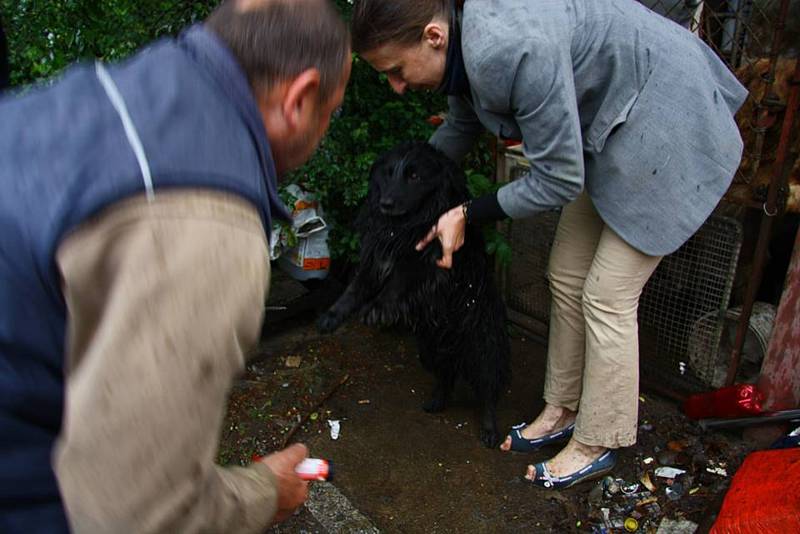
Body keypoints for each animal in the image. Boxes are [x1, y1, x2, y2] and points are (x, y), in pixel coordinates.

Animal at [318, 142, 510, 448]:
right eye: (388, 173)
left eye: (414, 176)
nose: (385, 203)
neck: (403, 225)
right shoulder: (374, 258)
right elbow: (354, 288)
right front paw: (332, 316)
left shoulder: (429, 259)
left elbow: (399, 280)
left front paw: (377, 309)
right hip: (430, 348)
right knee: (446, 376)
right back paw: (437, 401)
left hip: (482, 346)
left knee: (488, 390)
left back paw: (490, 429)